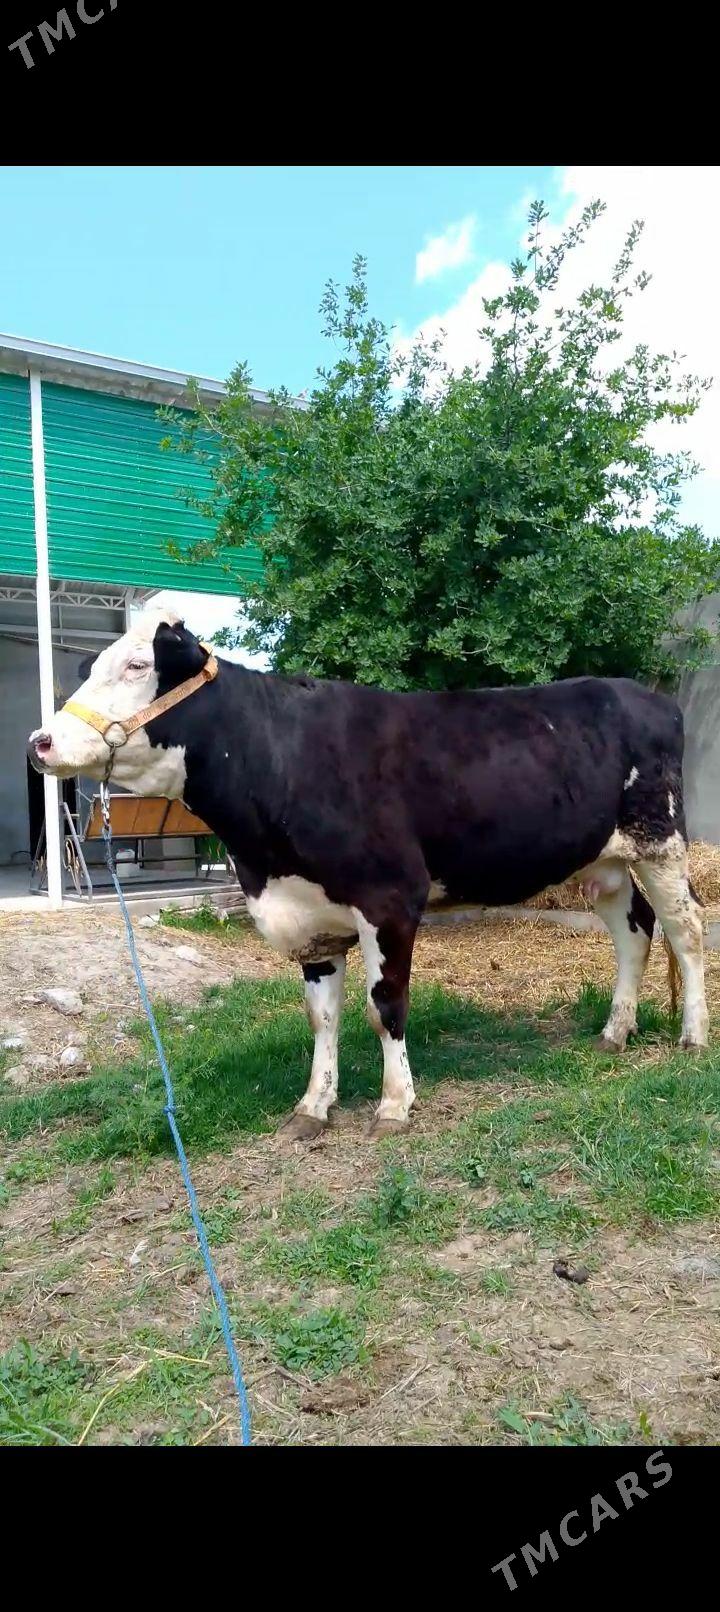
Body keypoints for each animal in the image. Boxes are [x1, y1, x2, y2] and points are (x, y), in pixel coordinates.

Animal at [28, 606, 708, 1140]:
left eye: (137, 666)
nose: (40, 742)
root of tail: (648, 695)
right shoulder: (308, 915)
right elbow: (321, 1016)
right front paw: (313, 1106)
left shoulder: (390, 899)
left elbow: (386, 1006)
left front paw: (394, 1105)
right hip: (609, 860)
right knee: (634, 931)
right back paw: (615, 1032)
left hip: (661, 840)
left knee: (688, 930)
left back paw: (693, 1037)